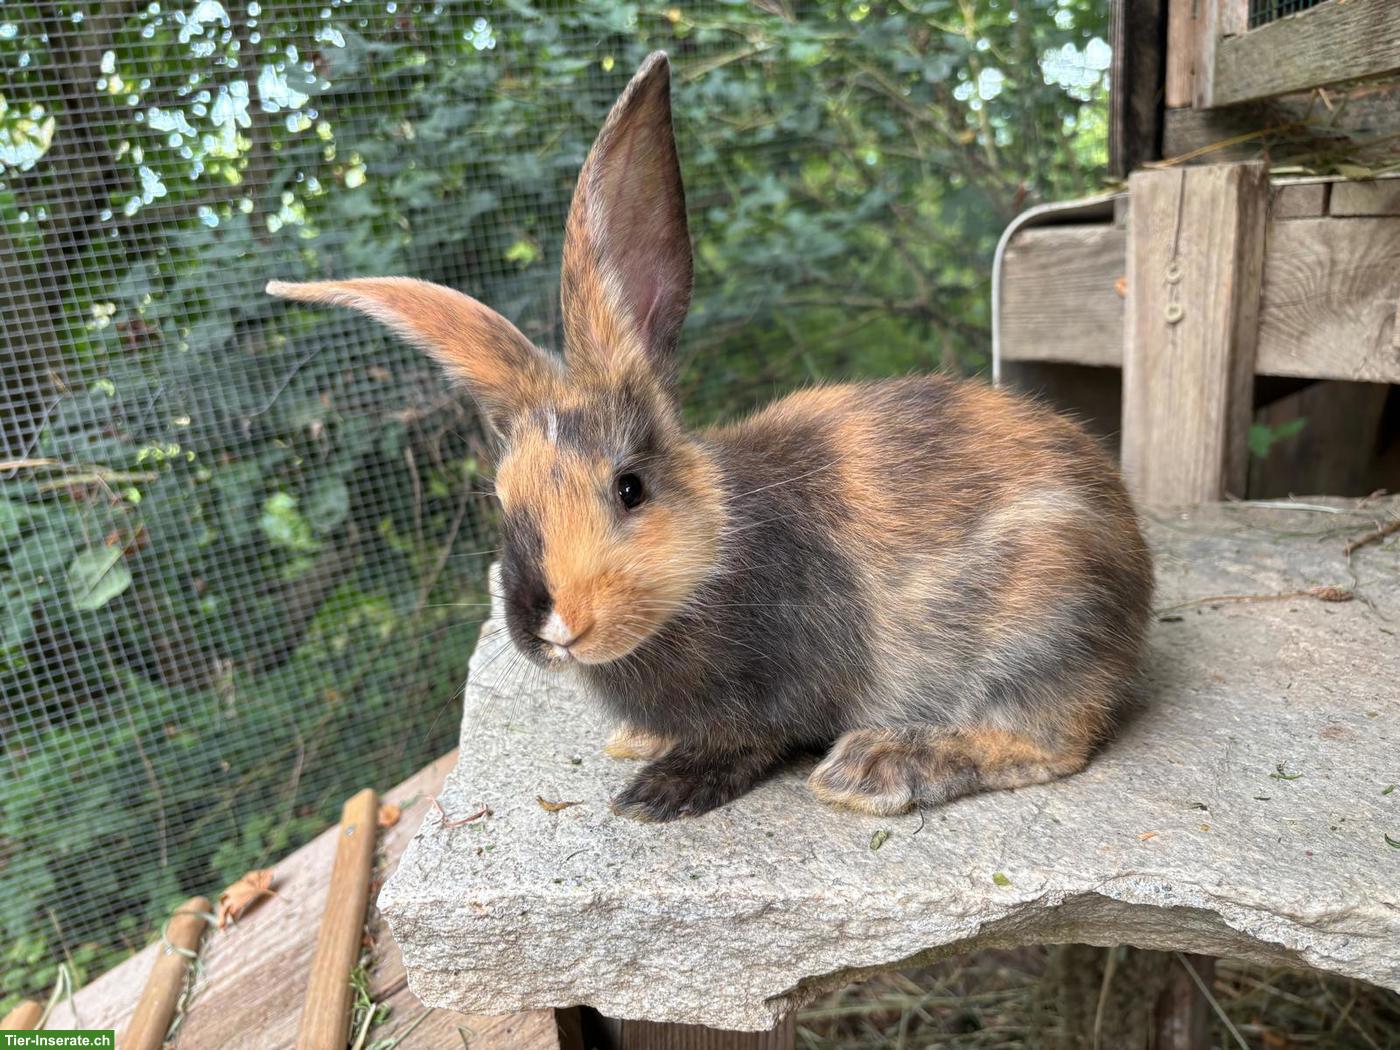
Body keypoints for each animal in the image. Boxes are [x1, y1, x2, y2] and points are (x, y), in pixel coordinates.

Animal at [266, 51, 1153, 823]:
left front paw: (659, 793)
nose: (558, 629)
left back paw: (877, 767)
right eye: (503, 501)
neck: (714, 546)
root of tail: (1134, 576)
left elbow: (747, 741)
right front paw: (634, 742)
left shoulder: (773, 688)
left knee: (1051, 741)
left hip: (1042, 619)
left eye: (630, 487)